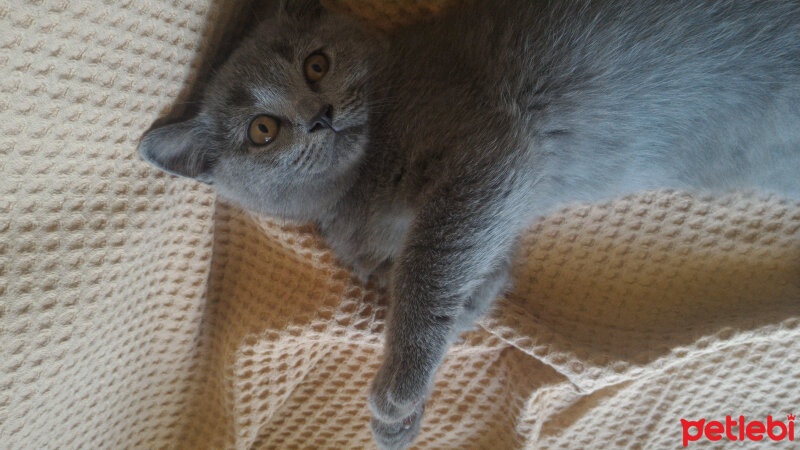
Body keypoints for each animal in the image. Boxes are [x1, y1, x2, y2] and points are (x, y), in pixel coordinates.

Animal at [139, 0, 800, 446]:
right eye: (263, 131)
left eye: (316, 64)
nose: (320, 116)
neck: (363, 184)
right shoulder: (479, 224)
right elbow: (465, 283)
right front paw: (411, 401)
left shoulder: (487, 154)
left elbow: (429, 271)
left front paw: (396, 391)